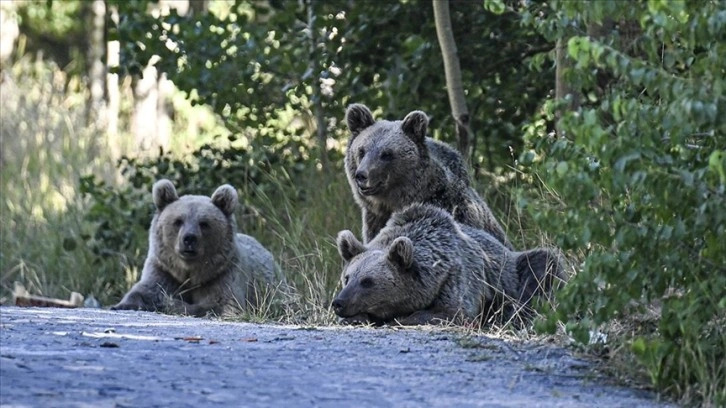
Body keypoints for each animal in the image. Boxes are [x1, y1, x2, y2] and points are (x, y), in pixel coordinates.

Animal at [113, 180, 278, 318]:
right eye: (178, 221)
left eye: (204, 223)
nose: (189, 238)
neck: (191, 273)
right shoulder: (164, 271)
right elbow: (145, 290)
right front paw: (122, 305)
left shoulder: (223, 274)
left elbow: (221, 303)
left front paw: (170, 304)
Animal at [332, 206, 564, 326]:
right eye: (347, 277)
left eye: (367, 281)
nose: (339, 302)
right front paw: (358, 318)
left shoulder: (457, 279)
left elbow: (452, 312)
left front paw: (401, 319)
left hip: (514, 274)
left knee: (542, 267)